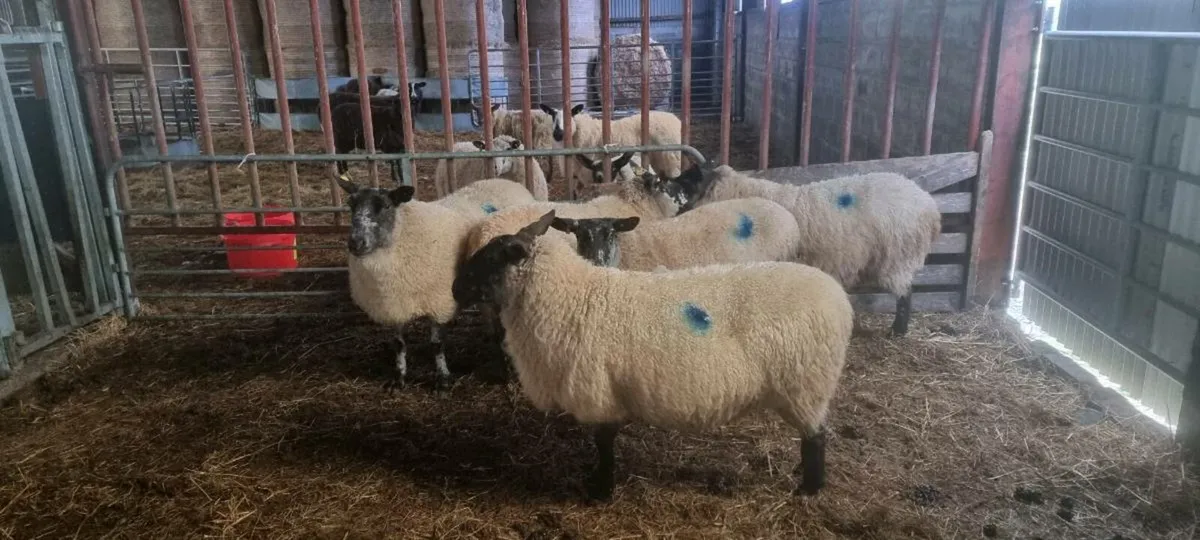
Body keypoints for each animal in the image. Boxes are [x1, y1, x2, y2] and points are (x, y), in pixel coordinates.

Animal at [336, 176, 537, 391]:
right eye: (350, 204)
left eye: (386, 206)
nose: (356, 243)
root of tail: (504, 180)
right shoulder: (395, 303)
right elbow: (399, 344)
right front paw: (399, 378)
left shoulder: (439, 302)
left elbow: (437, 344)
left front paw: (443, 378)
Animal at [451, 210, 854, 502]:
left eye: (491, 259)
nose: (454, 288)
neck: (573, 297)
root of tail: (838, 297)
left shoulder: (600, 393)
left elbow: (604, 445)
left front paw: (600, 491)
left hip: (806, 383)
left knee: (816, 437)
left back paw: (808, 489)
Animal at [667, 163, 941, 337]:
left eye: (687, 181)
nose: (664, 184)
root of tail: (929, 205)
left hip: (899, 255)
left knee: (905, 292)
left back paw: (897, 331)